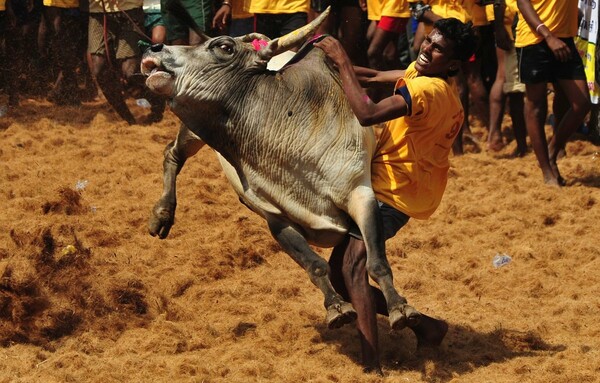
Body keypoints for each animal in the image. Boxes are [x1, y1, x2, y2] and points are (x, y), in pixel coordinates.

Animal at [143, 9, 426, 374]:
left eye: (223, 46)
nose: (154, 46)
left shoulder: (360, 194)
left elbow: (377, 262)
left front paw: (401, 308)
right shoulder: (276, 218)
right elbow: (314, 265)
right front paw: (337, 308)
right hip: (192, 132)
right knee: (172, 155)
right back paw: (163, 215)